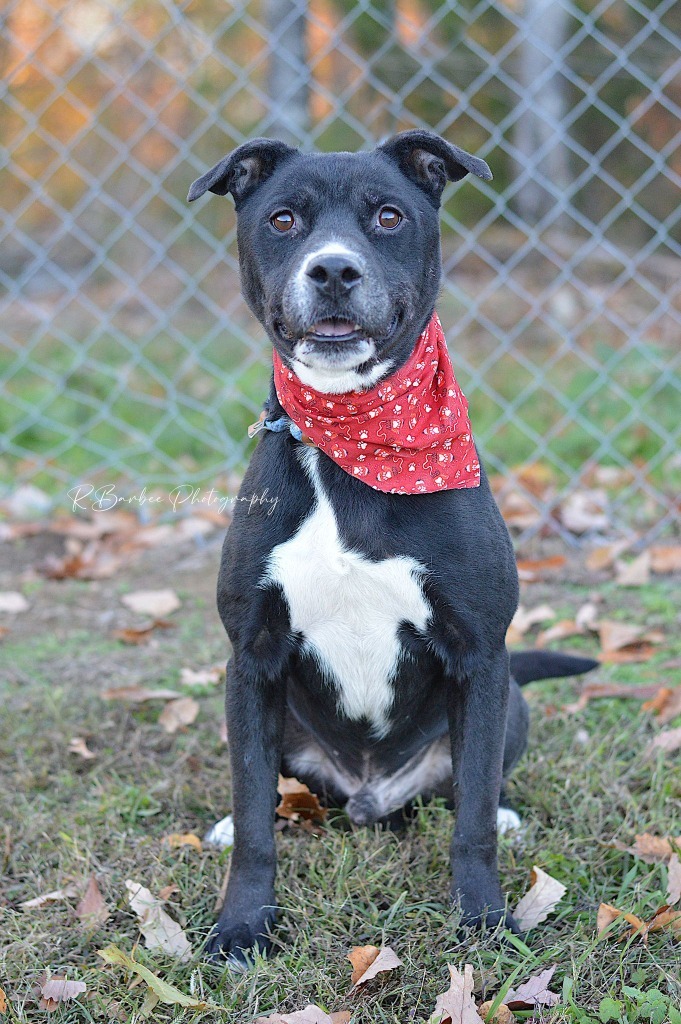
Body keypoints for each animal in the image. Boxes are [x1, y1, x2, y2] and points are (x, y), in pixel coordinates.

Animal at [186, 132, 593, 962]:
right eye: (282, 219)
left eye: (387, 216)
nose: (334, 270)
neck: (358, 440)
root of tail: (371, 794)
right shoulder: (251, 657)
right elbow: (255, 816)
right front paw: (241, 927)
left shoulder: (480, 653)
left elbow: (470, 820)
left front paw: (483, 922)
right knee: (273, 792)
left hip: (508, 701)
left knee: (473, 789)